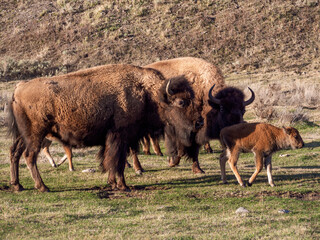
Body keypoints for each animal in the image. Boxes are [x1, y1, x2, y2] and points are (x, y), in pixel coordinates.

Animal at [7, 63, 204, 191]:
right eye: (181, 102)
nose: (199, 122)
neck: (148, 93)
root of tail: (18, 88)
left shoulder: (117, 139)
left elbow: (112, 160)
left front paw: (113, 183)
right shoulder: (120, 137)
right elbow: (117, 161)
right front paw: (122, 186)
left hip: (23, 136)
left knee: (14, 153)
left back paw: (18, 185)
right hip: (36, 134)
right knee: (29, 156)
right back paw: (42, 187)